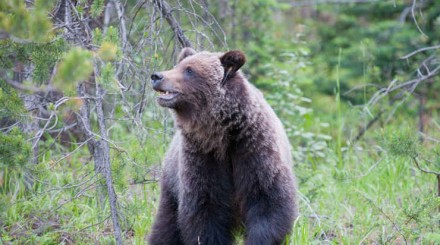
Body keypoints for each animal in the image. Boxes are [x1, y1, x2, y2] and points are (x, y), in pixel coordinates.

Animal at [149, 48, 300, 245]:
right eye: (178, 65)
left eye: (189, 70)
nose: (157, 76)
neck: (223, 135)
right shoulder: (203, 158)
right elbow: (205, 209)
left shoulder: (255, 150)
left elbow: (268, 202)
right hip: (172, 183)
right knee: (167, 224)